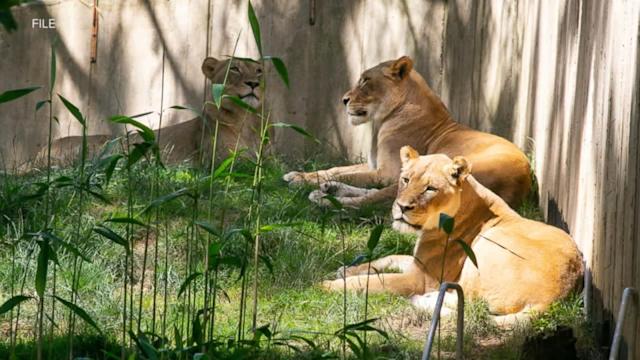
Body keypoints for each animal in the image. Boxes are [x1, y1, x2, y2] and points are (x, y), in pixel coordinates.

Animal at [284, 55, 528, 210]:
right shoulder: (376, 166)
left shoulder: (387, 173)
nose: (343, 100)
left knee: (371, 202)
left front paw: (301, 182)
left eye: (366, 80)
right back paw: (329, 189)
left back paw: (323, 199)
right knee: (375, 194)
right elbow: (336, 169)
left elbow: (347, 174)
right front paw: (298, 175)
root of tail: (521, 185)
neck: (383, 119)